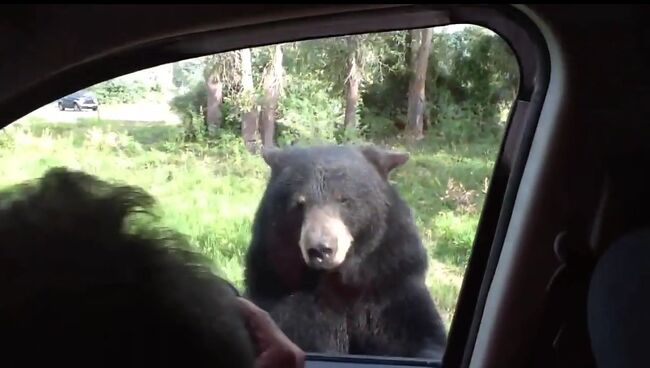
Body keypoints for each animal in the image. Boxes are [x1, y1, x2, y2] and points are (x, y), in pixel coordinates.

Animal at [243, 143, 446, 360]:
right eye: (299, 203)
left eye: (344, 199)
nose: (320, 250)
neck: (340, 279)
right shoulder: (279, 289)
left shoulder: (390, 280)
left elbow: (418, 332)